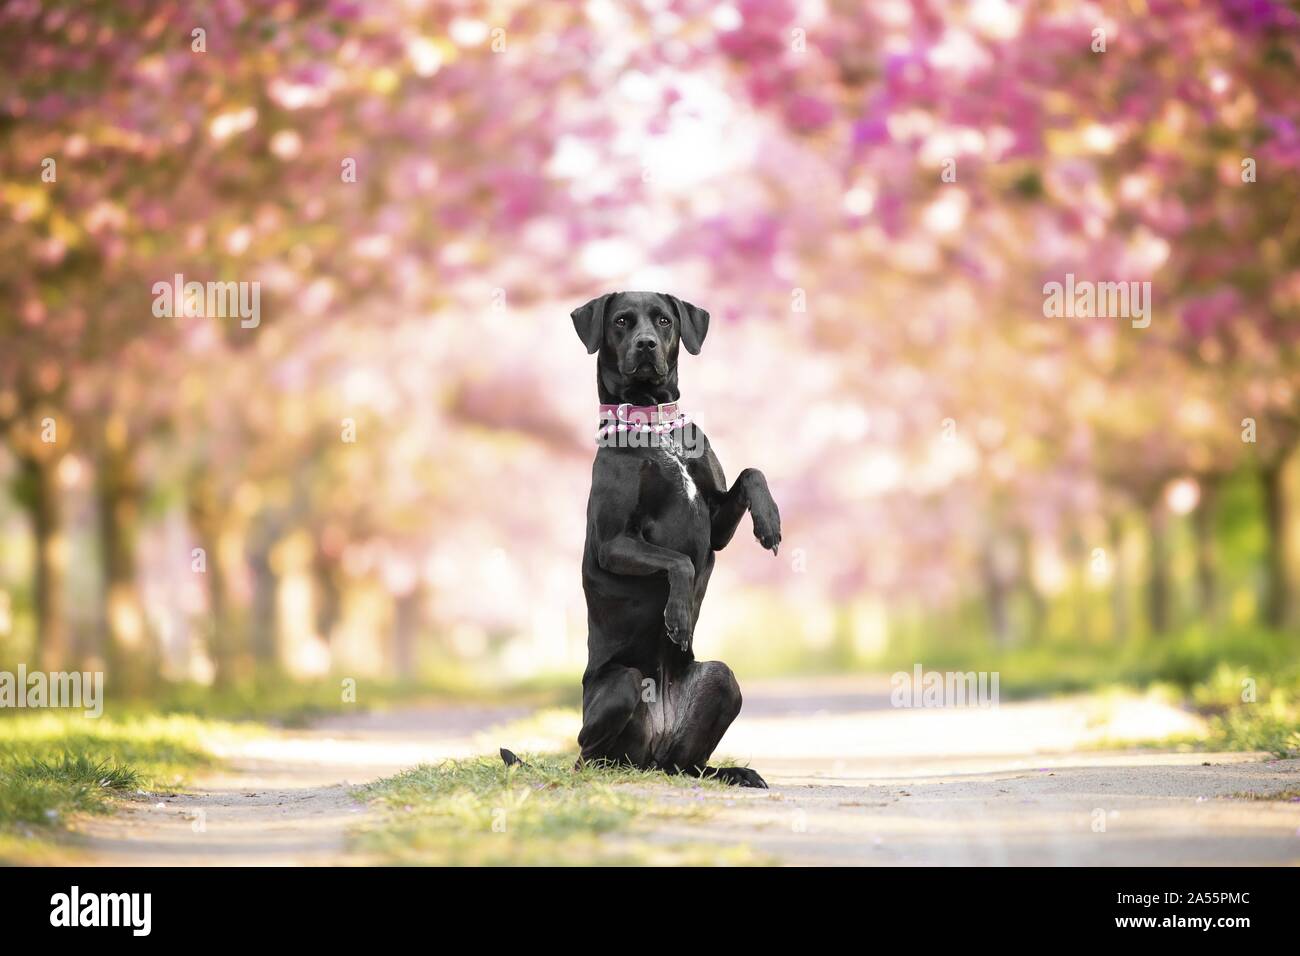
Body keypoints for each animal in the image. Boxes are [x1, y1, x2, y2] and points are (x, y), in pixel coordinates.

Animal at [572, 293, 780, 790]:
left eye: (664, 320)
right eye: (621, 321)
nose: (646, 344)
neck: (657, 429)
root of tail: (651, 755)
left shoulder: (716, 524)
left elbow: (752, 473)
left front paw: (769, 522)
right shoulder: (612, 544)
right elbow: (678, 561)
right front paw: (679, 616)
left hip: (722, 681)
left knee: (688, 765)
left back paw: (735, 772)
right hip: (623, 684)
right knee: (587, 753)